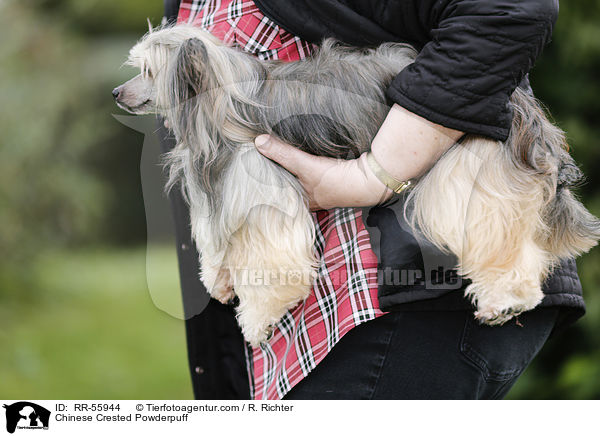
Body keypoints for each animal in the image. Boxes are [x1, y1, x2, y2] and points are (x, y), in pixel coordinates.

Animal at [113, 23, 600, 346]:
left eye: (149, 72)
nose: (116, 93)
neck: (223, 102)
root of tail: (521, 105)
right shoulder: (220, 190)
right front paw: (218, 279)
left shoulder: (263, 188)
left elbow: (273, 263)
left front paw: (256, 321)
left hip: (466, 173)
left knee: (499, 242)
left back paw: (505, 301)